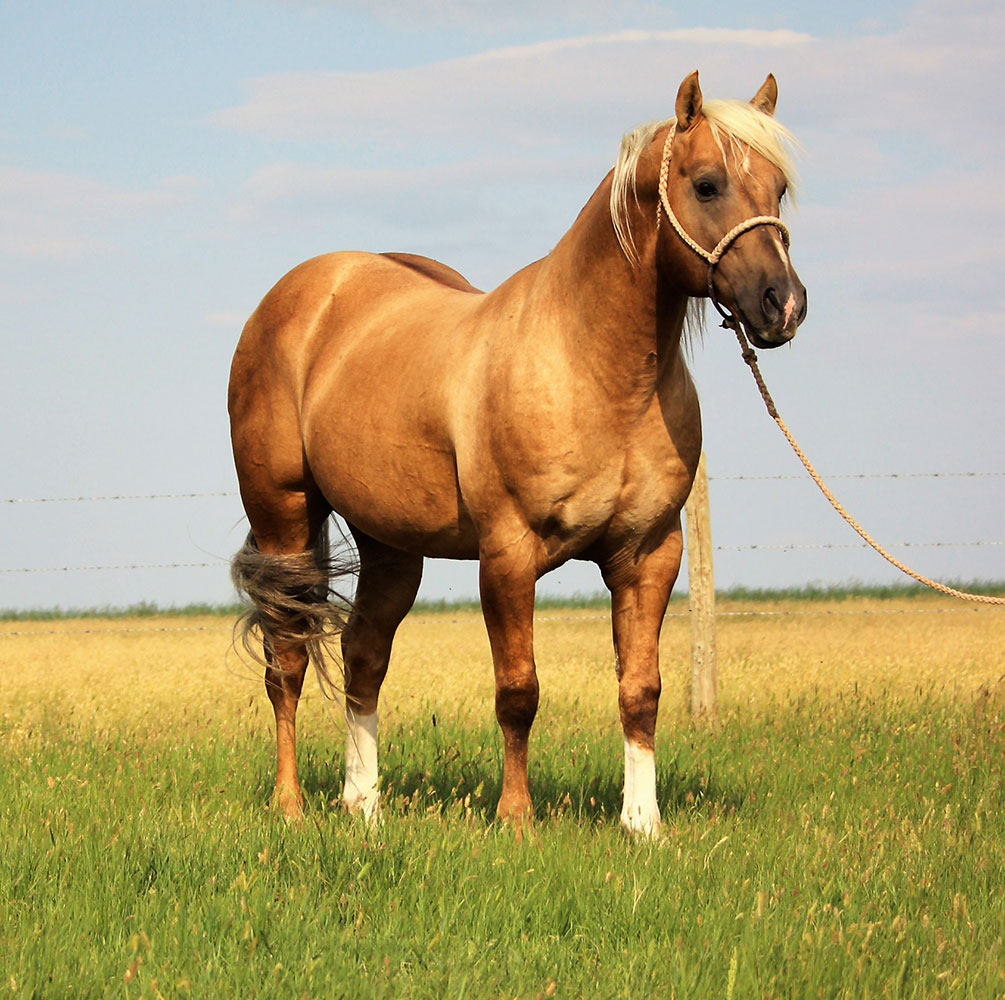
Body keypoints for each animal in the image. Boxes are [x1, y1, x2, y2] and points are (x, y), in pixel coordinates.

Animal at [231, 70, 804, 836]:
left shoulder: (649, 553)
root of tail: (304, 293)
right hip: (285, 522)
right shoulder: (508, 555)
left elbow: (641, 689)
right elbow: (518, 690)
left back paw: (365, 805)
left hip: (391, 545)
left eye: (778, 187)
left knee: (362, 655)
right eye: (707, 184)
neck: (591, 368)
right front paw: (515, 819)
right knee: (287, 659)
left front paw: (643, 824)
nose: (783, 305)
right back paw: (291, 806)